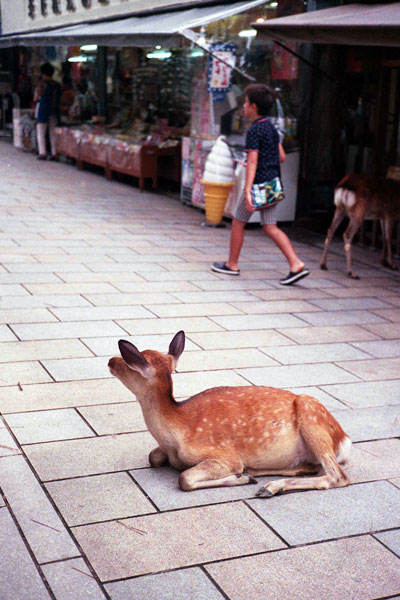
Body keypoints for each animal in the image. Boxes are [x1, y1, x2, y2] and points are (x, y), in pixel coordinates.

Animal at [108, 332, 352, 496]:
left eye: (130, 362)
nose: (110, 360)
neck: (175, 436)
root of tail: (344, 440)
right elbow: (153, 457)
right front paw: (244, 476)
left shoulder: (223, 455)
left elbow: (184, 478)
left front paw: (239, 477)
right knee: (314, 467)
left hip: (311, 416)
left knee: (337, 476)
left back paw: (268, 486)